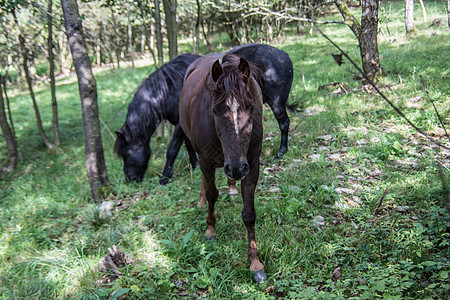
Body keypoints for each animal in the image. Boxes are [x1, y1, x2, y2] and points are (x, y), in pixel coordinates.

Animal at [114, 43, 294, 184]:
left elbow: (172, 149)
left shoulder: (179, 125)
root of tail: (284, 55)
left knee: (284, 123)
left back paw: (281, 152)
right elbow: (188, 144)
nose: (130, 178)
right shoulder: (186, 124)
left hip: (276, 103)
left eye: (126, 153)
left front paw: (165, 177)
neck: (169, 88)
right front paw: (193, 165)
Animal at [178, 54, 268, 284]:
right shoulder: (205, 160)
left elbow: (249, 213)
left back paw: (232, 188)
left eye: (251, 108)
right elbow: (212, 194)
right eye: (215, 110)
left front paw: (255, 263)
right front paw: (210, 229)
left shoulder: (252, 164)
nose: (236, 168)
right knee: (205, 183)